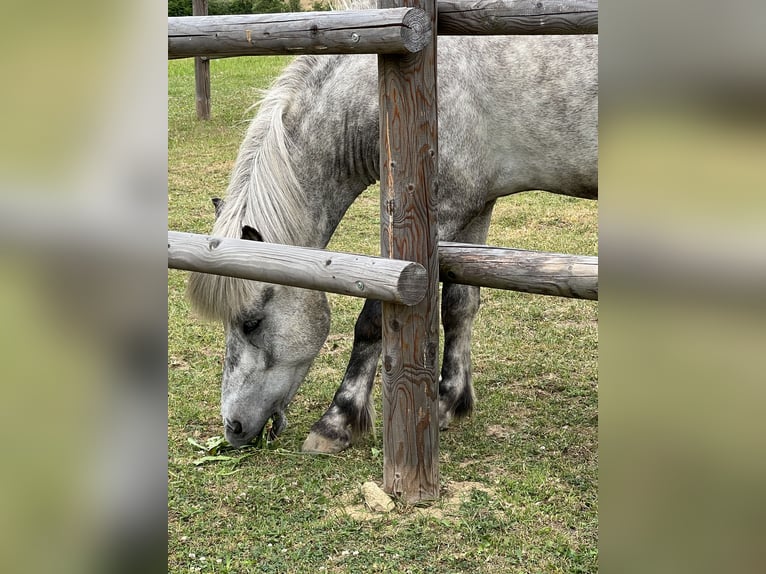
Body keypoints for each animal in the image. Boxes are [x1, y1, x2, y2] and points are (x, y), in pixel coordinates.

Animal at [186, 30, 600, 454]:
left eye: (250, 323)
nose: (233, 427)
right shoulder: (476, 207)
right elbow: (459, 305)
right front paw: (448, 400)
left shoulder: (439, 217)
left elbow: (373, 319)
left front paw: (337, 420)